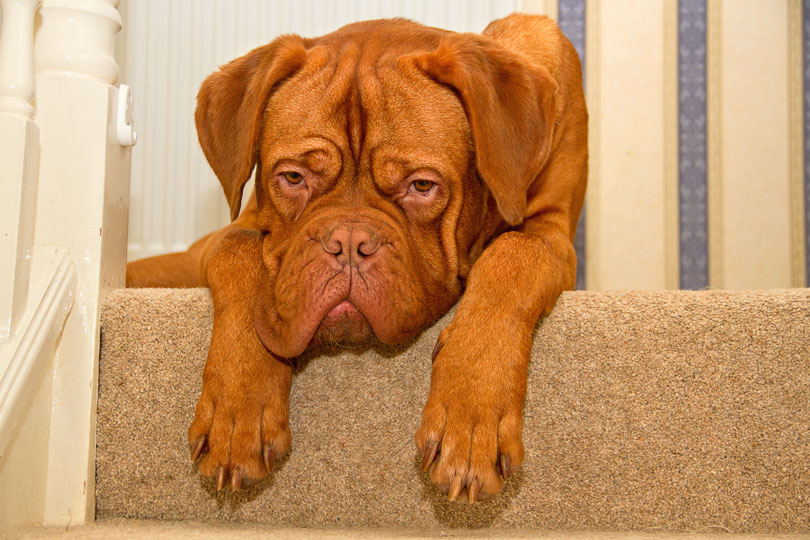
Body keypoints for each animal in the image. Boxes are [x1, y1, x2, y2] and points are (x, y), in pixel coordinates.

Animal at [126, 13, 584, 502]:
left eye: (422, 186)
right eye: (293, 178)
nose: (347, 244)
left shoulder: (551, 232)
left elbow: (516, 254)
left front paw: (471, 416)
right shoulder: (237, 227)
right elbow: (240, 252)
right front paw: (238, 411)